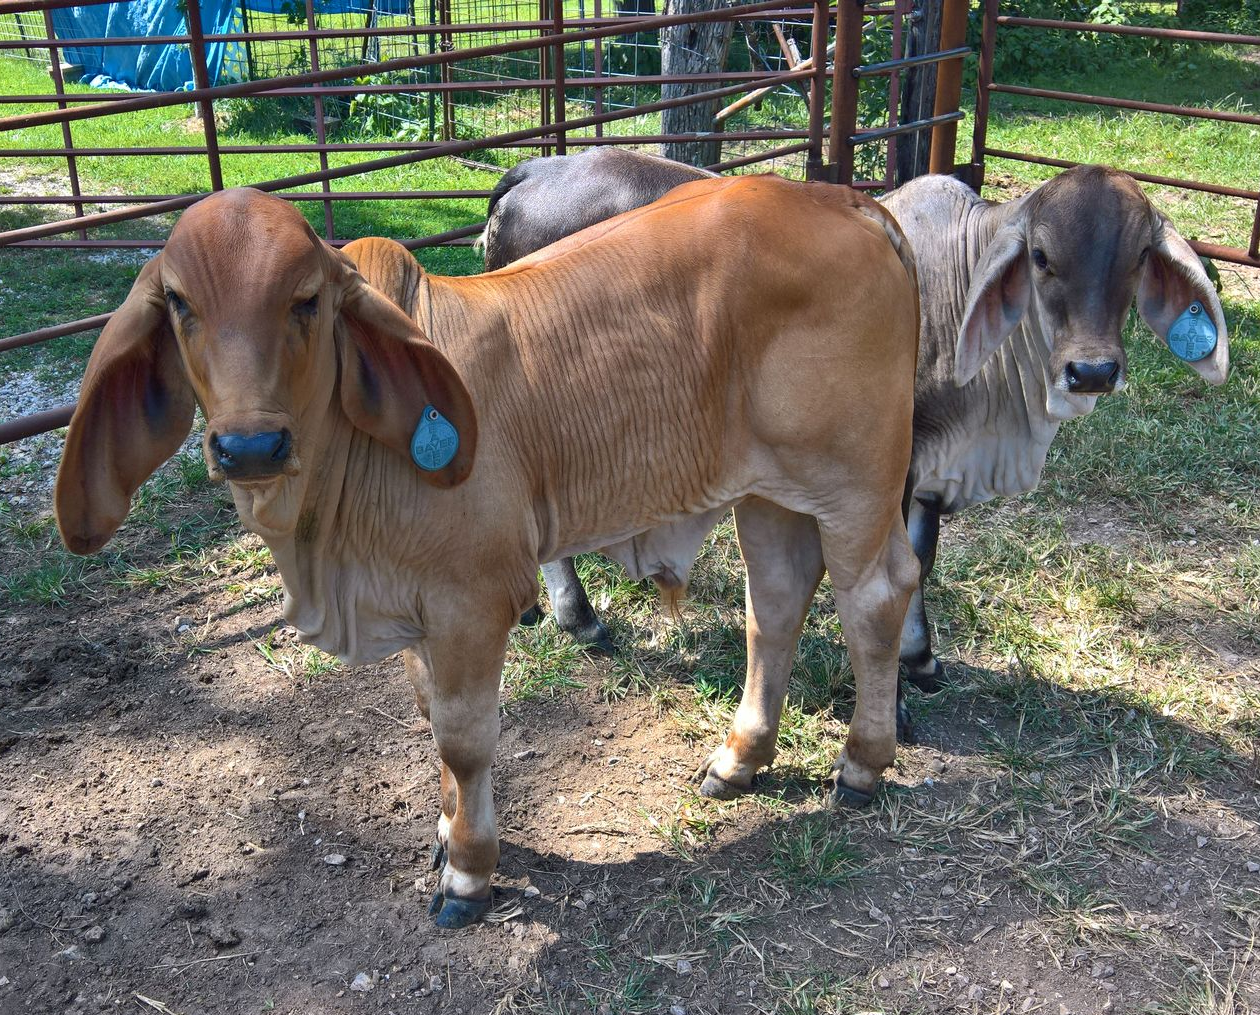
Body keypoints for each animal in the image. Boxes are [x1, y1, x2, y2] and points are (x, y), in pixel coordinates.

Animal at [55, 177, 922, 929]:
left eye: (306, 299)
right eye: (180, 303)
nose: (249, 446)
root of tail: (845, 201)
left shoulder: (470, 604)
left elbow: (463, 740)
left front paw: (469, 870)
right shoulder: (415, 607)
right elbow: (428, 712)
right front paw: (444, 832)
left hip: (856, 486)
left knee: (876, 599)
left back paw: (860, 763)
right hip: (771, 493)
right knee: (774, 604)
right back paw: (739, 758)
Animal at [482, 154, 1230, 691]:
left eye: (1138, 258)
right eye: (1042, 257)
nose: (1092, 371)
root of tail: (536, 169)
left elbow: (923, 559)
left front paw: (921, 660)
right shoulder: (886, 465)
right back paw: (580, 617)